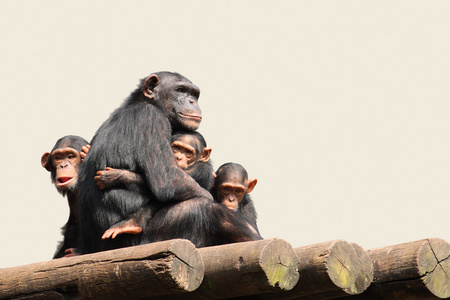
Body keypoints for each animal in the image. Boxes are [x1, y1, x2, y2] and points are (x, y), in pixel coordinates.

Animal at [77, 72, 260, 253]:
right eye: (180, 90)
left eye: (194, 94)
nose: (192, 101)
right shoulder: (151, 118)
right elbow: (168, 181)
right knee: (204, 208)